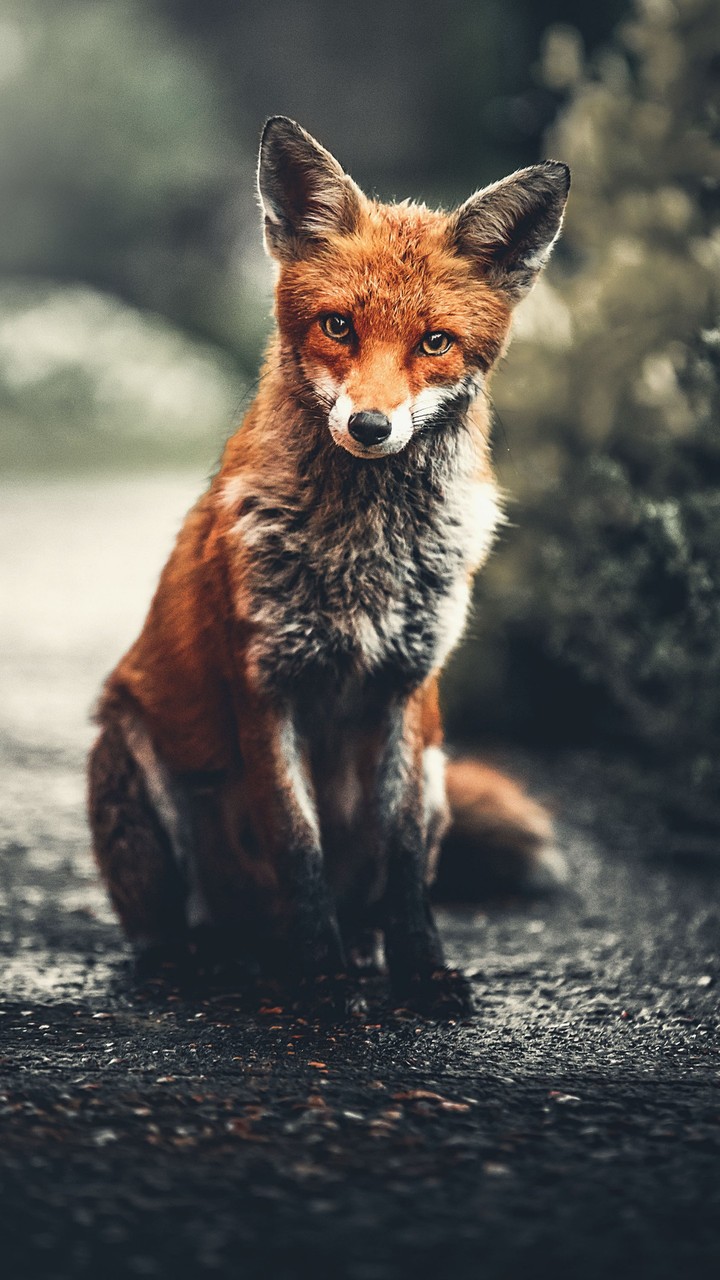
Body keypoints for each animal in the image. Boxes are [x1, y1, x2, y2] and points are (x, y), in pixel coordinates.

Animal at [88, 117, 570, 1017]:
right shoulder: (265, 685)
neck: (364, 554)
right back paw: (210, 961)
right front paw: (320, 980)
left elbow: (405, 860)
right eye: (339, 326)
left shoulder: (409, 690)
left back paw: (359, 952)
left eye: (434, 342)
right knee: (173, 929)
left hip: (440, 768)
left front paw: (421, 970)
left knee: (372, 894)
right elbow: (298, 846)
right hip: (131, 754)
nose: (372, 426)